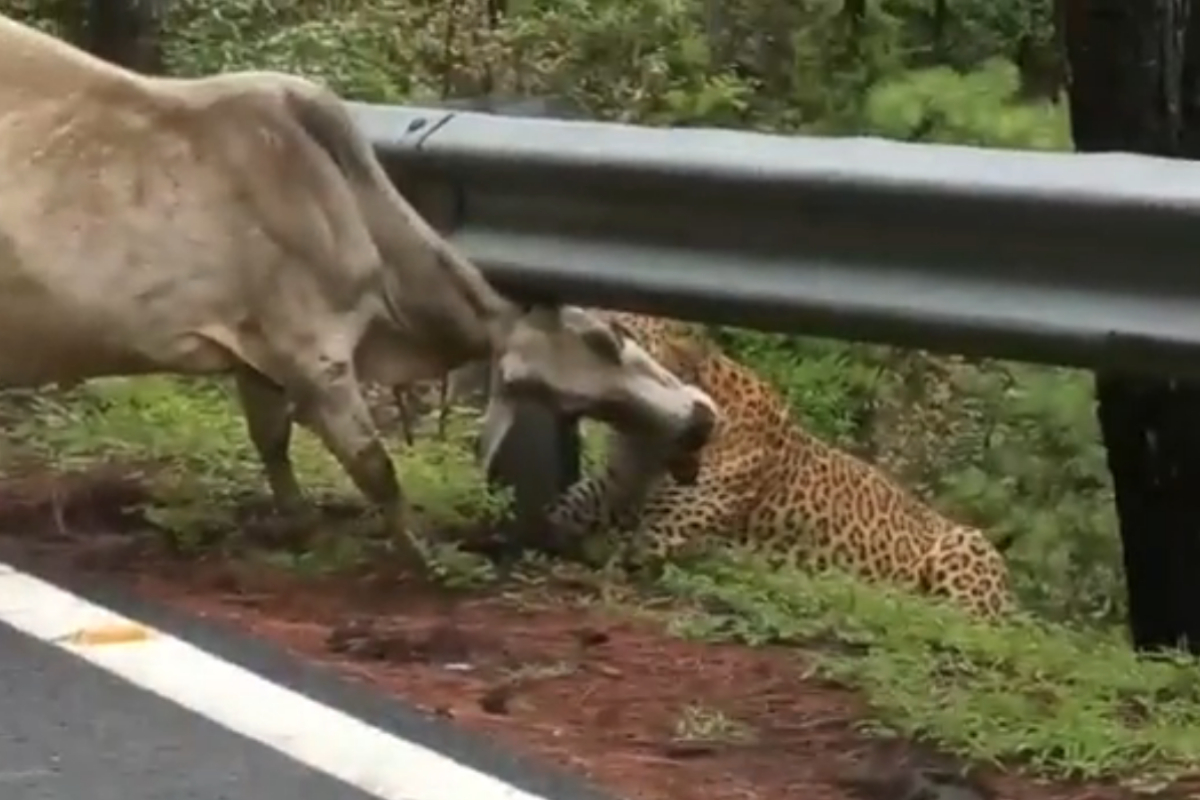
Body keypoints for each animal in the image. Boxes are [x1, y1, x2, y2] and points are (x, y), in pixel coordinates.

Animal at [0, 15, 719, 569]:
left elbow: (272, 443)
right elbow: (377, 467)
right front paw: (424, 558)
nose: (699, 420)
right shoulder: (314, 355)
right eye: (606, 336)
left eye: (568, 402)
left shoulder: (258, 354)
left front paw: (301, 526)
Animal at [546, 310, 1016, 620]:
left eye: (623, 331)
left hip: (968, 546)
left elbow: (607, 549)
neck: (651, 439)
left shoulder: (656, 537)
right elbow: (561, 511)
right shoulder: (608, 490)